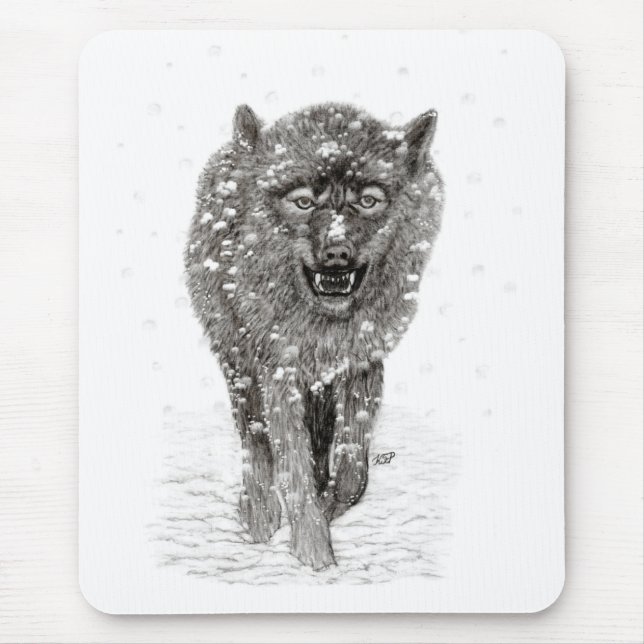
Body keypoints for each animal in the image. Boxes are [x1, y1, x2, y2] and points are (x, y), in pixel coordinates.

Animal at [185, 102, 443, 570]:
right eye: (303, 202)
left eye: (368, 200)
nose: (337, 253)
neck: (324, 328)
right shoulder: (278, 373)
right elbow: (292, 466)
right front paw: (313, 553)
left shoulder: (361, 365)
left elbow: (352, 471)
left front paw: (325, 509)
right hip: (239, 365)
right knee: (254, 442)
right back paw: (258, 515)